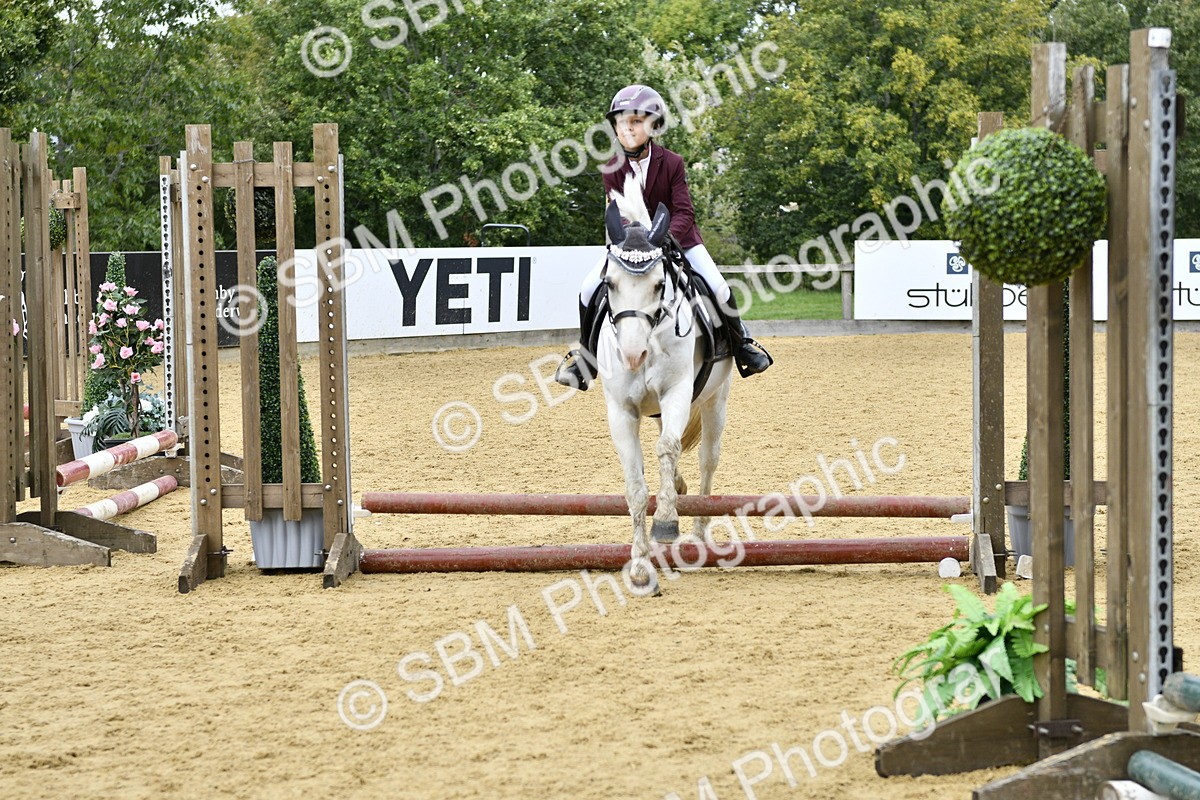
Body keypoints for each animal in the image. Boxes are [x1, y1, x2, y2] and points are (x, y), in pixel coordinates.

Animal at [597, 175, 734, 593]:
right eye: (609, 283)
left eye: (660, 284)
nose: (632, 354)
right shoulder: (621, 411)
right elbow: (636, 486)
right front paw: (640, 566)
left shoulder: (677, 393)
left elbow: (669, 448)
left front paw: (667, 523)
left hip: (715, 400)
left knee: (707, 462)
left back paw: (699, 534)